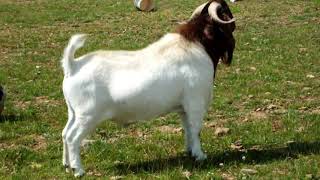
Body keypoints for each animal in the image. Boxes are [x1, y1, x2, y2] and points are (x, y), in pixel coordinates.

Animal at [60, 0, 235, 177]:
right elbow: (196, 129)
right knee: (73, 137)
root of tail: (73, 66)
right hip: (87, 115)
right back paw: (78, 170)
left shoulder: (183, 108)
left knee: (65, 133)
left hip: (73, 112)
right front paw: (200, 155)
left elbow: (187, 130)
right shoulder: (195, 103)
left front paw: (190, 152)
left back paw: (66, 165)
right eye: (226, 11)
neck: (195, 46)